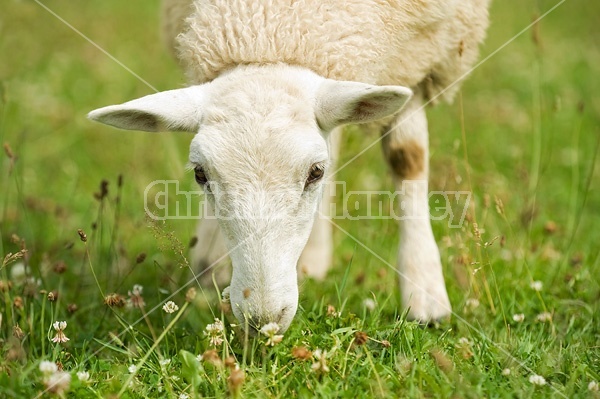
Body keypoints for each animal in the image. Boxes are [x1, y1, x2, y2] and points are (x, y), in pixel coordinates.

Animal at [90, 0, 492, 334]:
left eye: (315, 172)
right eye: (200, 174)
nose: (263, 319)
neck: (272, 22)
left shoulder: (419, 51)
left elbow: (407, 157)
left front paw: (424, 291)